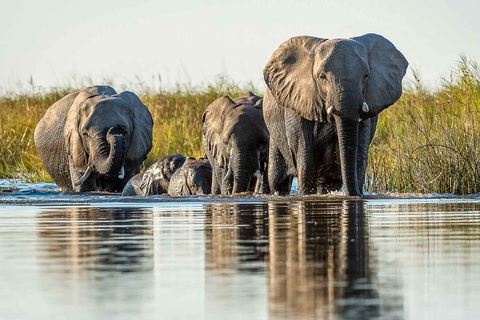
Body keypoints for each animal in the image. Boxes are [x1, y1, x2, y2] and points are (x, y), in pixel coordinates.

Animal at [262, 33, 408, 196]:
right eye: (322, 77)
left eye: (366, 76)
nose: (356, 193)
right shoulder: (298, 105)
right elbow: (306, 162)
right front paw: (306, 195)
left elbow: (359, 155)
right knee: (277, 181)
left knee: (330, 182)